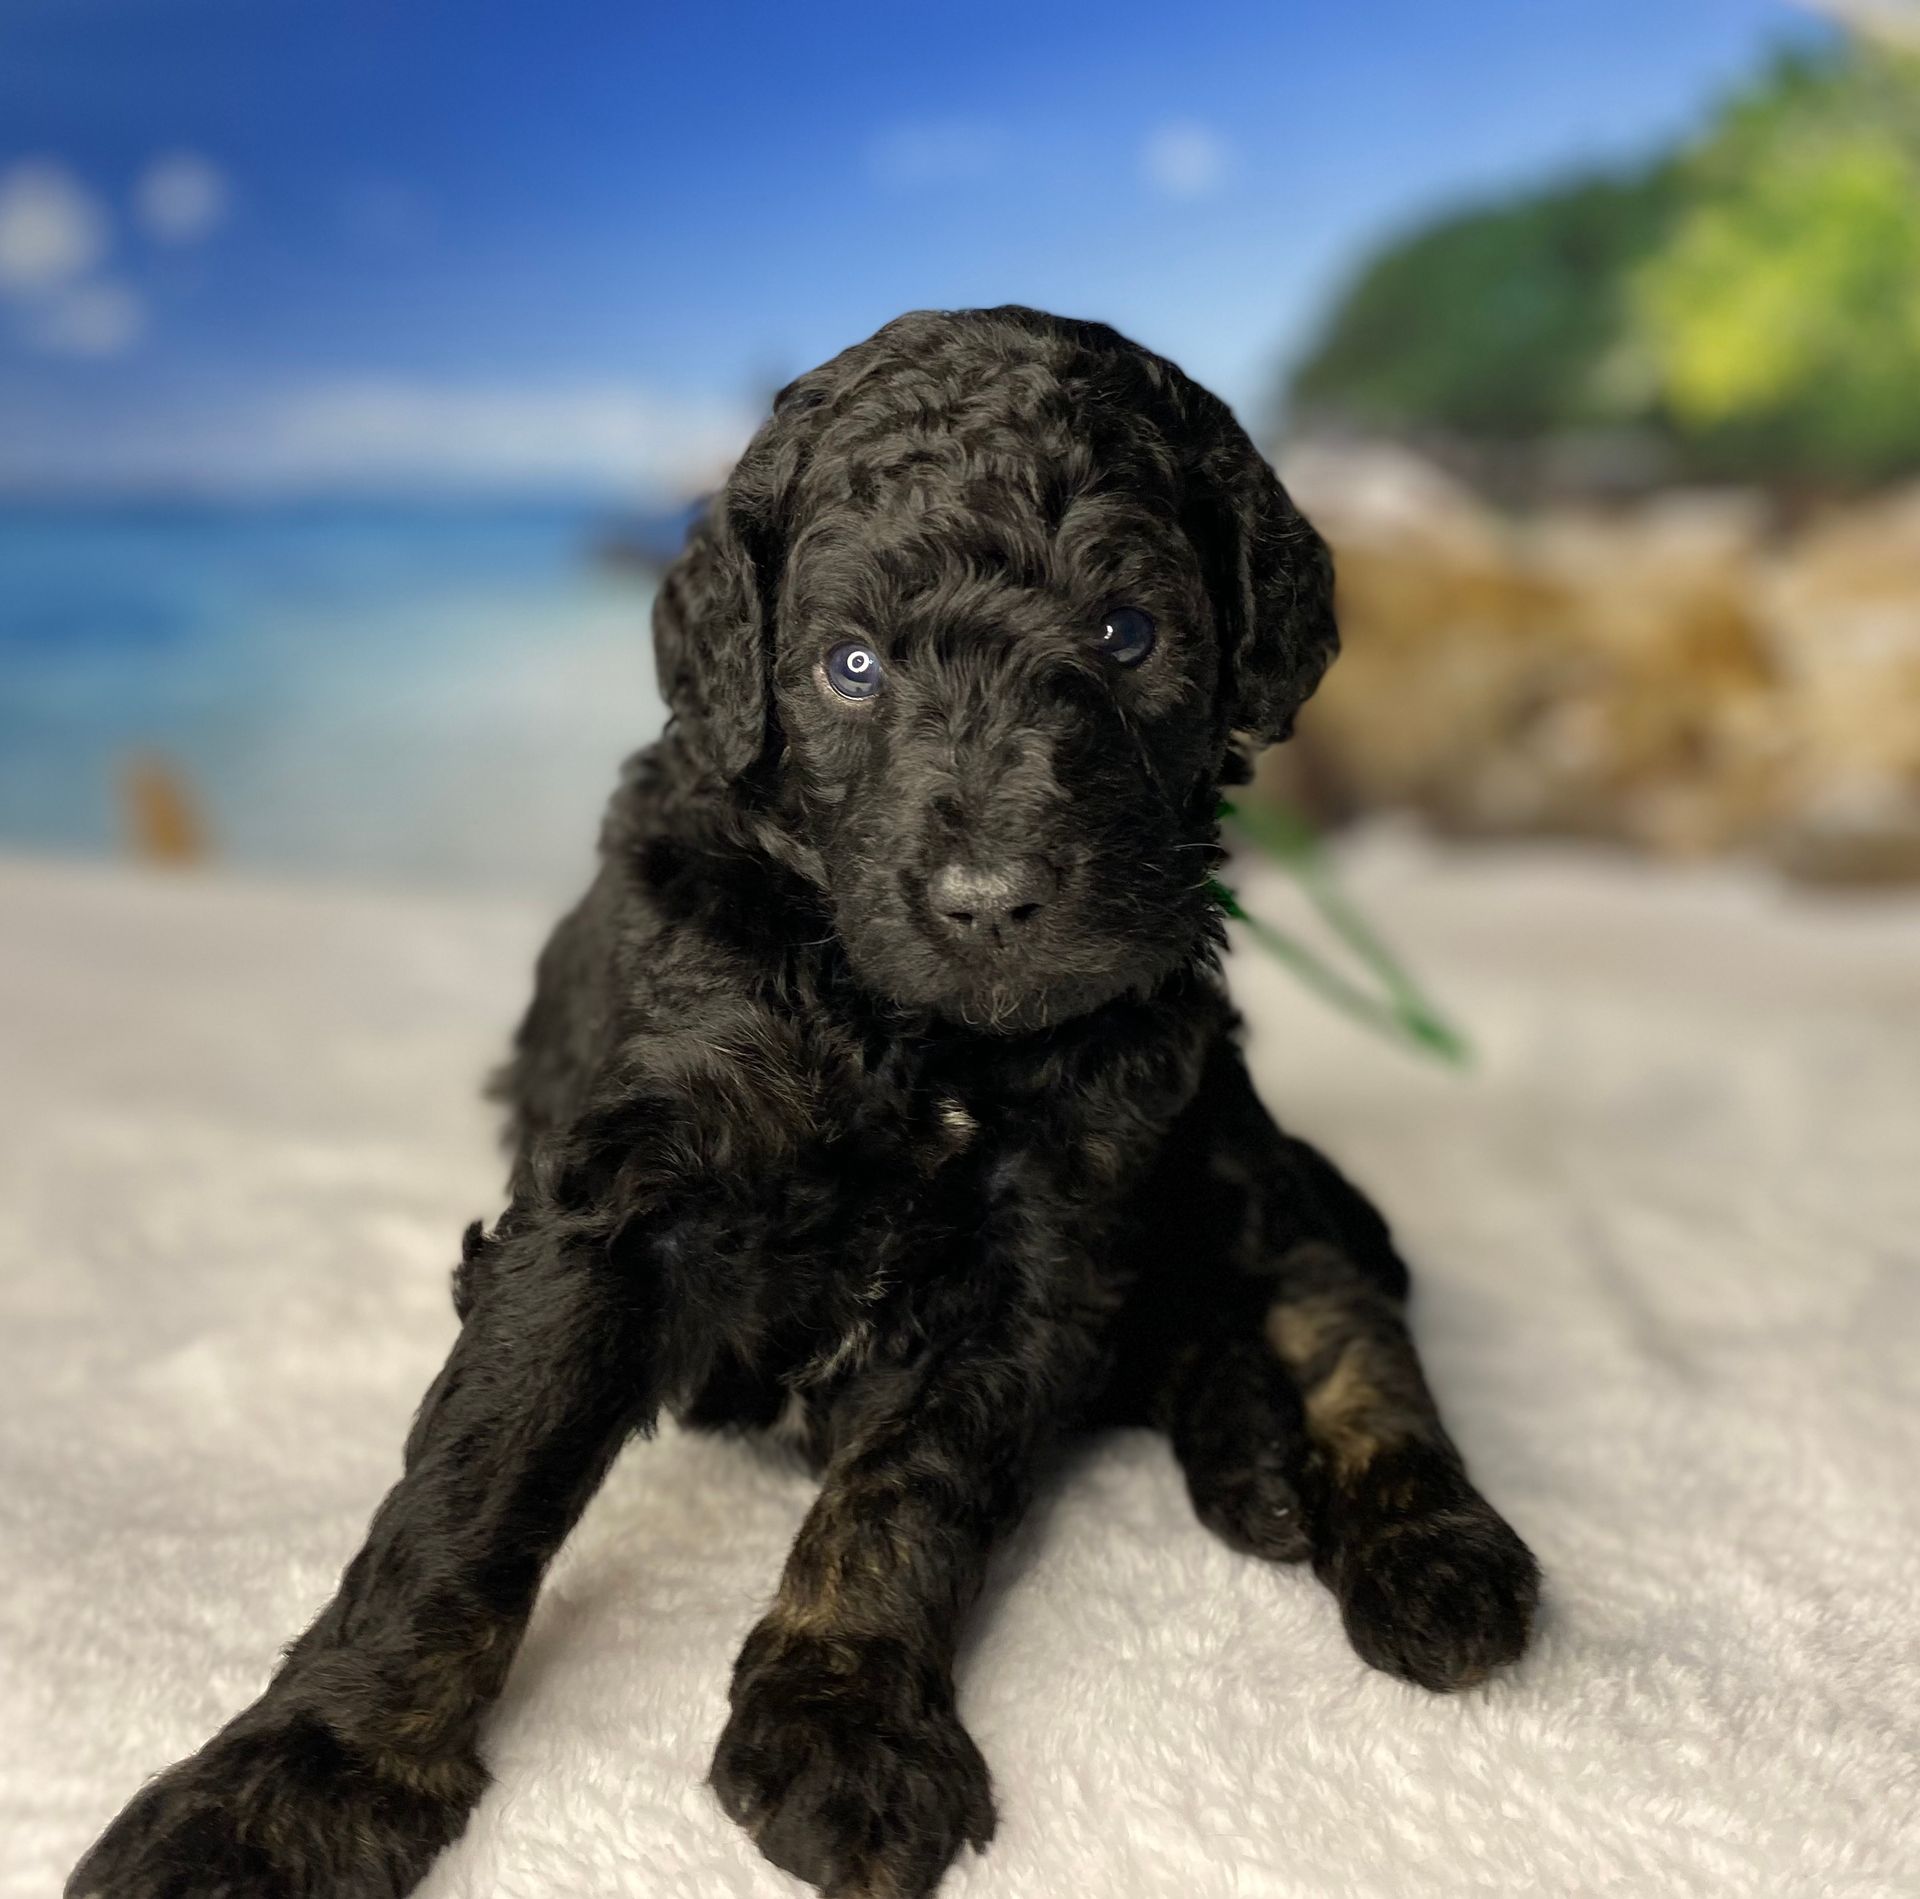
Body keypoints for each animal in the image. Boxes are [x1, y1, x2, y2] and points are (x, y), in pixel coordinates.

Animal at [74, 311, 1536, 1897]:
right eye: (851, 666)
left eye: (1127, 636)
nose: (989, 900)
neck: (906, 1031)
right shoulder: (617, 1189)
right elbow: (471, 1489)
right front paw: (299, 1778)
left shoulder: (1046, 1233)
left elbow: (910, 1484)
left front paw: (847, 1718)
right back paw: (1256, 1460)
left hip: (1218, 1125)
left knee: (1336, 1295)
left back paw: (1429, 1542)